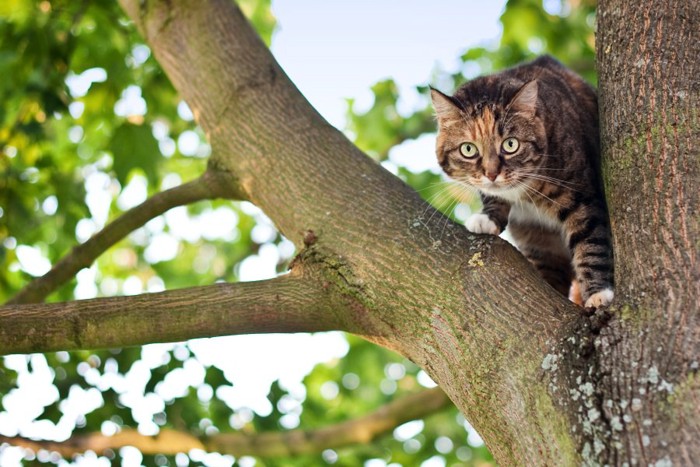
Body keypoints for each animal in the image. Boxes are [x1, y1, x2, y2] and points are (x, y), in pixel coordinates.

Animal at [430, 55, 616, 310]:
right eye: (468, 149)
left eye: (511, 144)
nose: (491, 173)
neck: (525, 194)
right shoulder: (537, 237)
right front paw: (488, 218)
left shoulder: (584, 198)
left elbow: (590, 245)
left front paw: (599, 294)